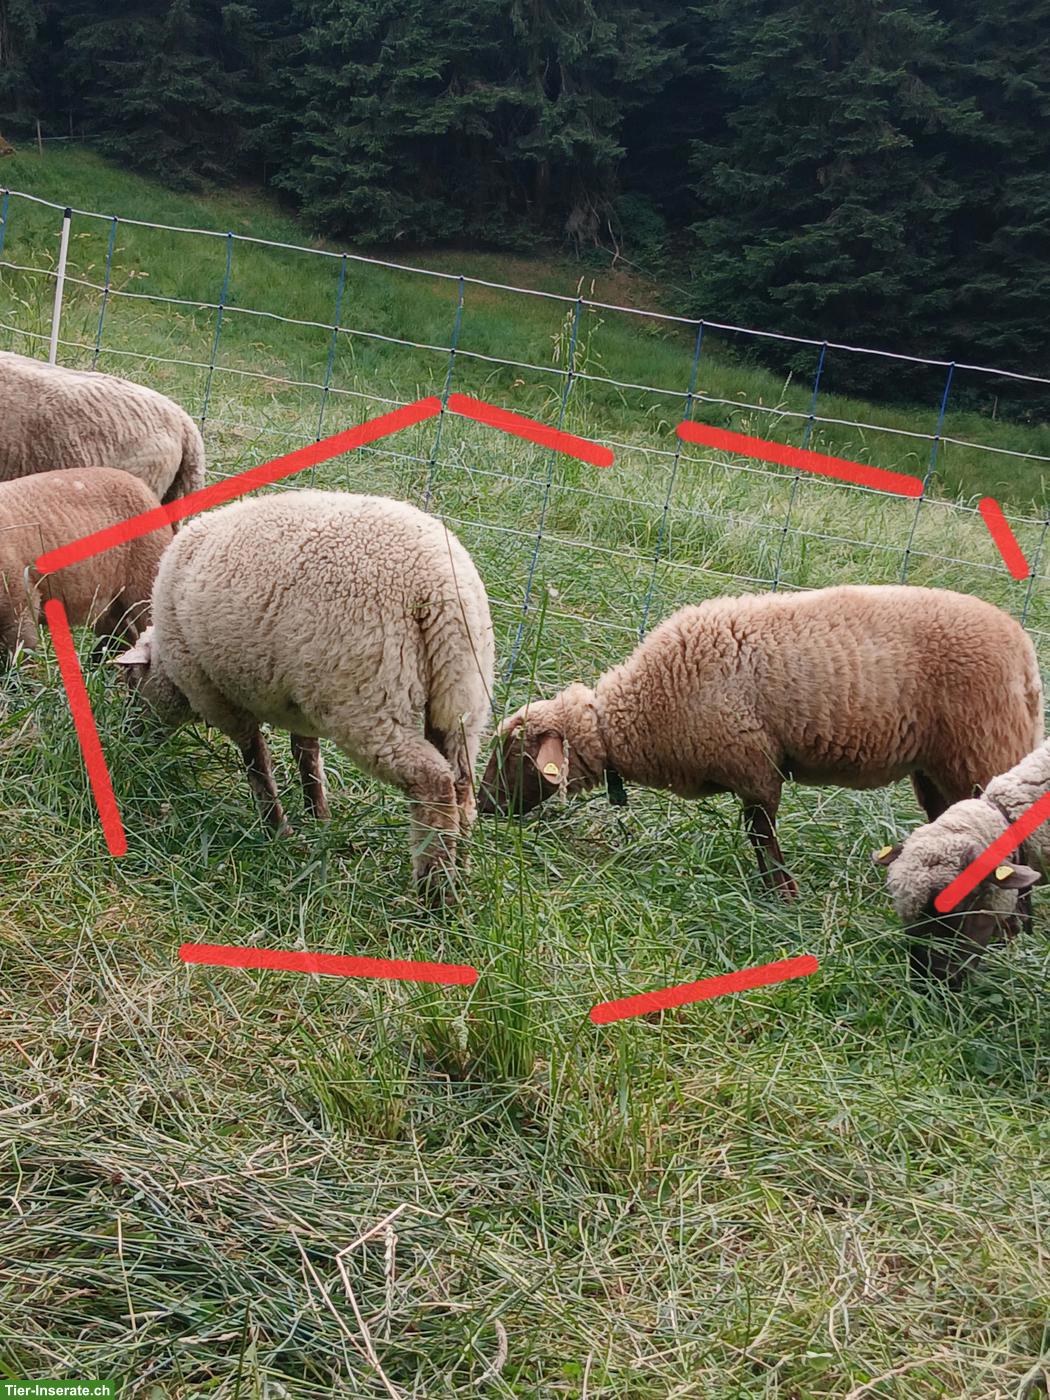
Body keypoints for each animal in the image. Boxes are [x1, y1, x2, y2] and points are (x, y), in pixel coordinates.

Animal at [0, 467, 173, 660]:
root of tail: (143, 486)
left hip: (147, 572)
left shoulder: (19, 597)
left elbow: (21, 649)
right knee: (120, 635)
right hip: (109, 599)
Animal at [114, 490, 495, 902]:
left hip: (368, 699)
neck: (169, 664)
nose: (130, 738)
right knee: (462, 788)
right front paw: (319, 818)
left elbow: (256, 761)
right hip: (461, 698)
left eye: (132, 681)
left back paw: (434, 893)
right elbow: (307, 756)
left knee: (433, 783)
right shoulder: (302, 701)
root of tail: (438, 588)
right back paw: (462, 871)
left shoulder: (218, 698)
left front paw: (276, 828)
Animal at [477, 584, 1043, 899]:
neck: (635, 712)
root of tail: (1025, 653)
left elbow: (761, 835)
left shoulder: (753, 764)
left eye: (514, 756)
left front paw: (782, 894)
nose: (482, 807)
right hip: (937, 769)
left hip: (983, 749)